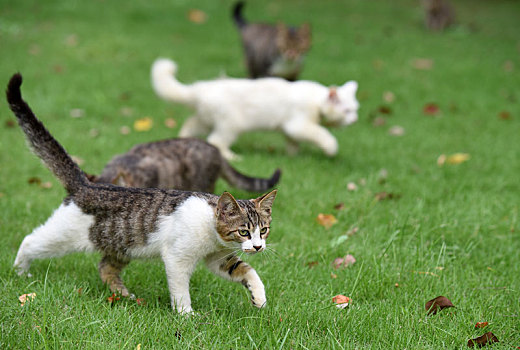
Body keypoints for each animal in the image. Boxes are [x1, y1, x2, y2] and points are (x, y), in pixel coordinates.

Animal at [152, 57, 360, 161]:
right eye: (347, 111)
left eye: (355, 109)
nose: (355, 120)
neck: (315, 99)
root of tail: (200, 89)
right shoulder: (299, 125)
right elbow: (322, 134)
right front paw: (331, 149)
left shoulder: (290, 130)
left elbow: (293, 143)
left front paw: (293, 157)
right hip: (230, 125)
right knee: (216, 141)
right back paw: (232, 157)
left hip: (205, 120)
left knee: (190, 125)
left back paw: (182, 141)